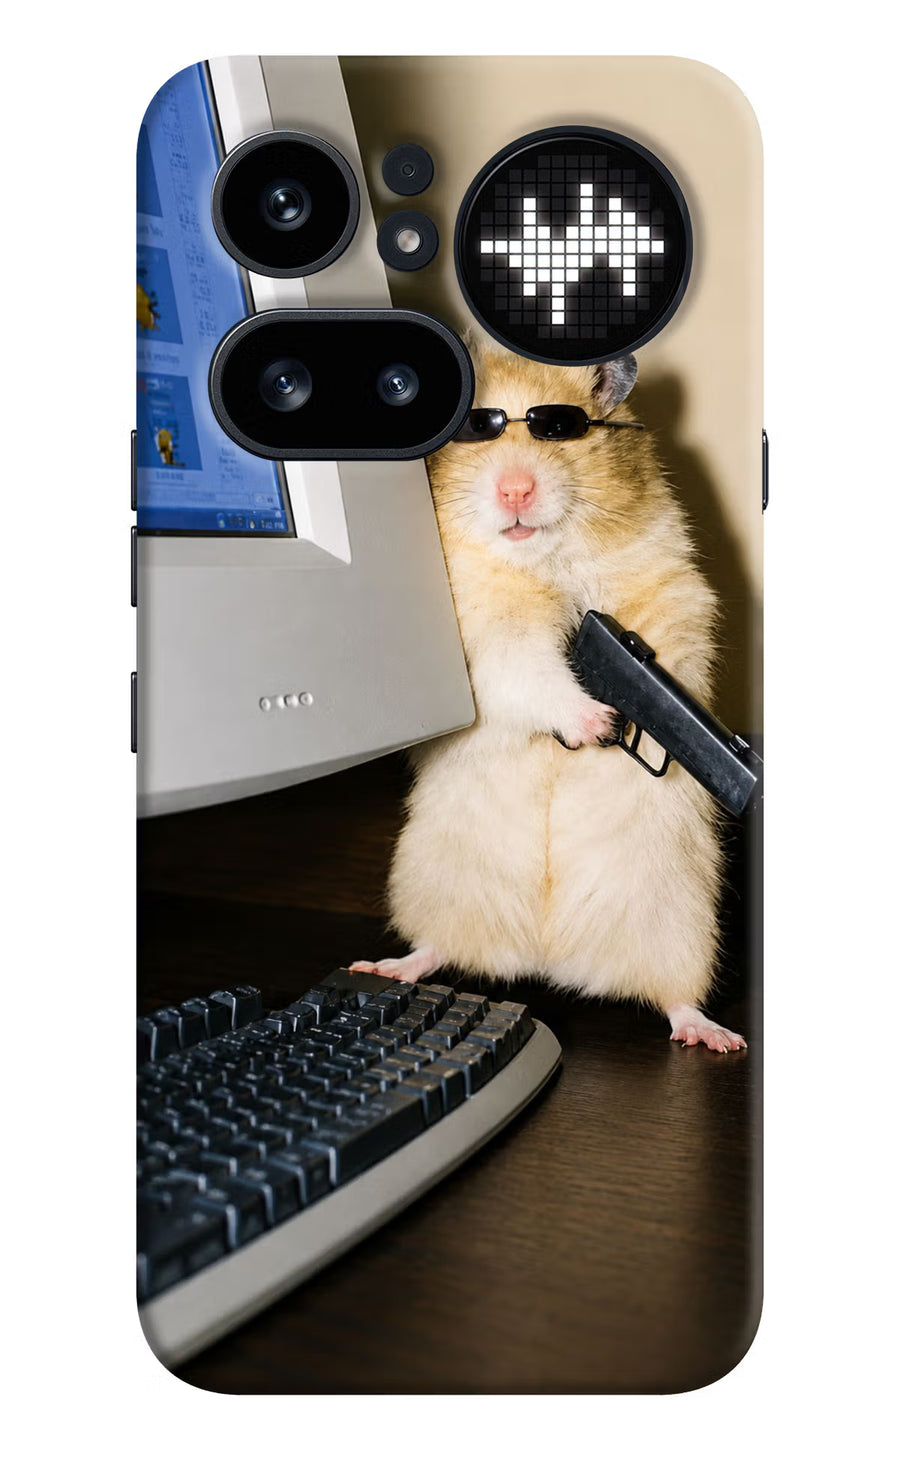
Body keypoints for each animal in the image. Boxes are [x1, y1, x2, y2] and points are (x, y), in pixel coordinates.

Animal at [351, 342, 745, 1052]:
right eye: (476, 427)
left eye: (559, 428)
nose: (515, 490)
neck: (543, 559)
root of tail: (548, 958)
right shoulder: (486, 639)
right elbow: (531, 672)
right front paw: (599, 722)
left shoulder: (671, 591)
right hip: (433, 882)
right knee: (436, 947)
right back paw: (385, 966)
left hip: (681, 922)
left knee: (675, 997)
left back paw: (716, 1036)